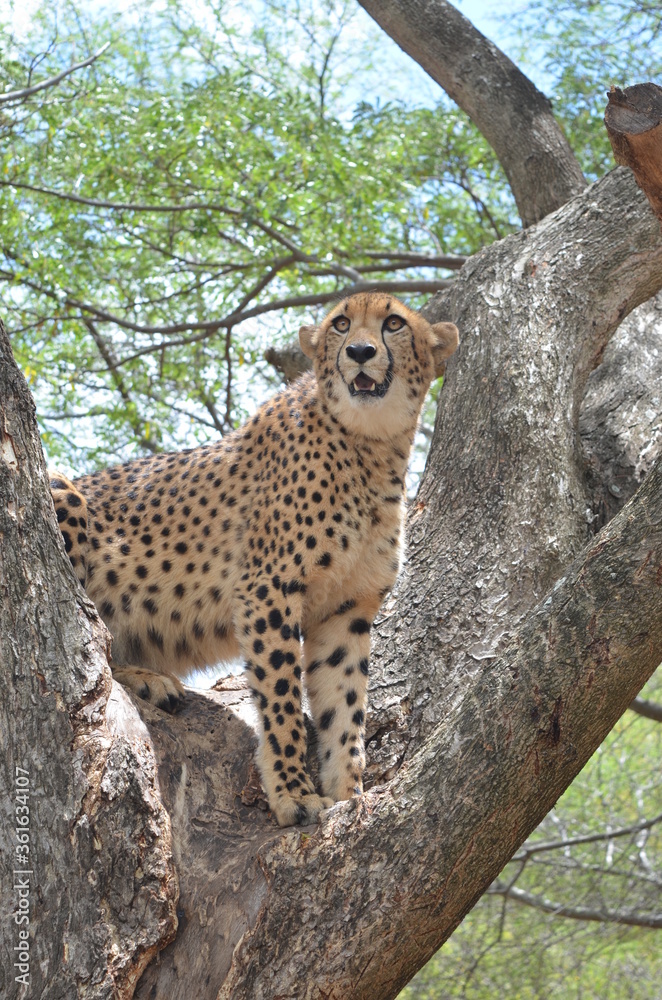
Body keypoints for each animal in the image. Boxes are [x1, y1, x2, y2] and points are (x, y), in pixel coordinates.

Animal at [50, 292, 459, 827]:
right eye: (341, 324)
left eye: (393, 323)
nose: (360, 351)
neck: (371, 445)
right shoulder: (268, 590)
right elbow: (282, 697)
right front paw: (293, 793)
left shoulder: (347, 608)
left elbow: (345, 701)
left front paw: (347, 792)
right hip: (61, 487)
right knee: (90, 638)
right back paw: (146, 678)